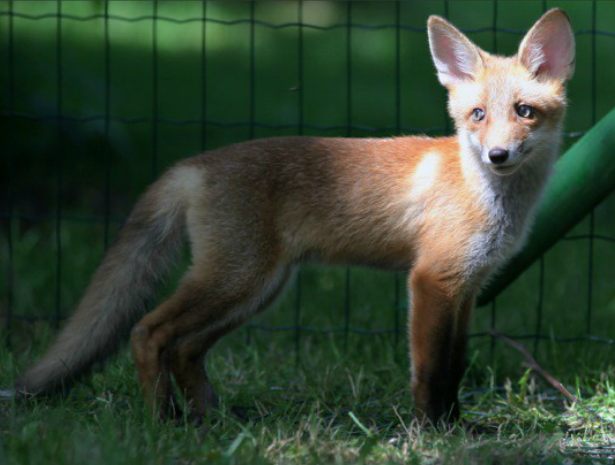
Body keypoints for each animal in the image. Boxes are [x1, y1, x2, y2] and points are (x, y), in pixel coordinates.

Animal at [9, 10, 576, 424]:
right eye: (477, 115)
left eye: (524, 112)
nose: (498, 156)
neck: (490, 199)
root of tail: (193, 164)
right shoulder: (431, 281)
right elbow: (430, 372)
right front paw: (430, 430)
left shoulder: (468, 289)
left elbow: (455, 368)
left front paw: (457, 426)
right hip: (236, 280)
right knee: (148, 332)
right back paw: (159, 421)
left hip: (258, 289)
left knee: (185, 348)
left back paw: (211, 418)